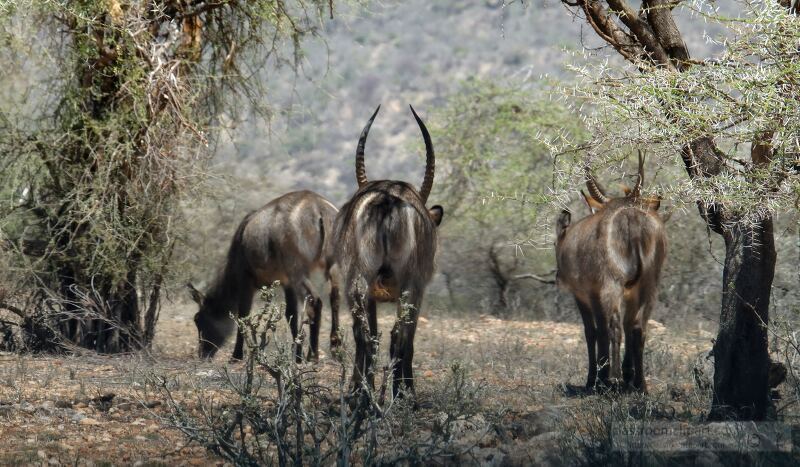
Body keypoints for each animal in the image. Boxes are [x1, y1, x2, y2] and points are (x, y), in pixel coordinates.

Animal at [189, 190, 342, 362]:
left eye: (197, 319)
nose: (203, 354)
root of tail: (319, 209)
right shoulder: (286, 283)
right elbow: (291, 314)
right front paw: (297, 355)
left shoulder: (246, 279)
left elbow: (244, 314)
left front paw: (236, 356)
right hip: (332, 266)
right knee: (335, 297)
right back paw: (335, 348)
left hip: (298, 271)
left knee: (315, 301)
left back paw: (313, 355)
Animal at [330, 107, 444, 402]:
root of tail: (388, 198)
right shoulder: (419, 288)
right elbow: (408, 338)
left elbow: (371, 334)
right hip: (409, 283)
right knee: (399, 335)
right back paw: (403, 395)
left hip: (358, 282)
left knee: (365, 334)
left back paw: (362, 395)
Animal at [552, 155, 664, 394]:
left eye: (554, 244)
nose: (558, 278)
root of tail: (631, 216)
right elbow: (626, 326)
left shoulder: (585, 294)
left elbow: (593, 331)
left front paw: (594, 380)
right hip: (649, 286)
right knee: (638, 327)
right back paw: (639, 384)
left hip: (610, 286)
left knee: (613, 327)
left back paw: (612, 379)